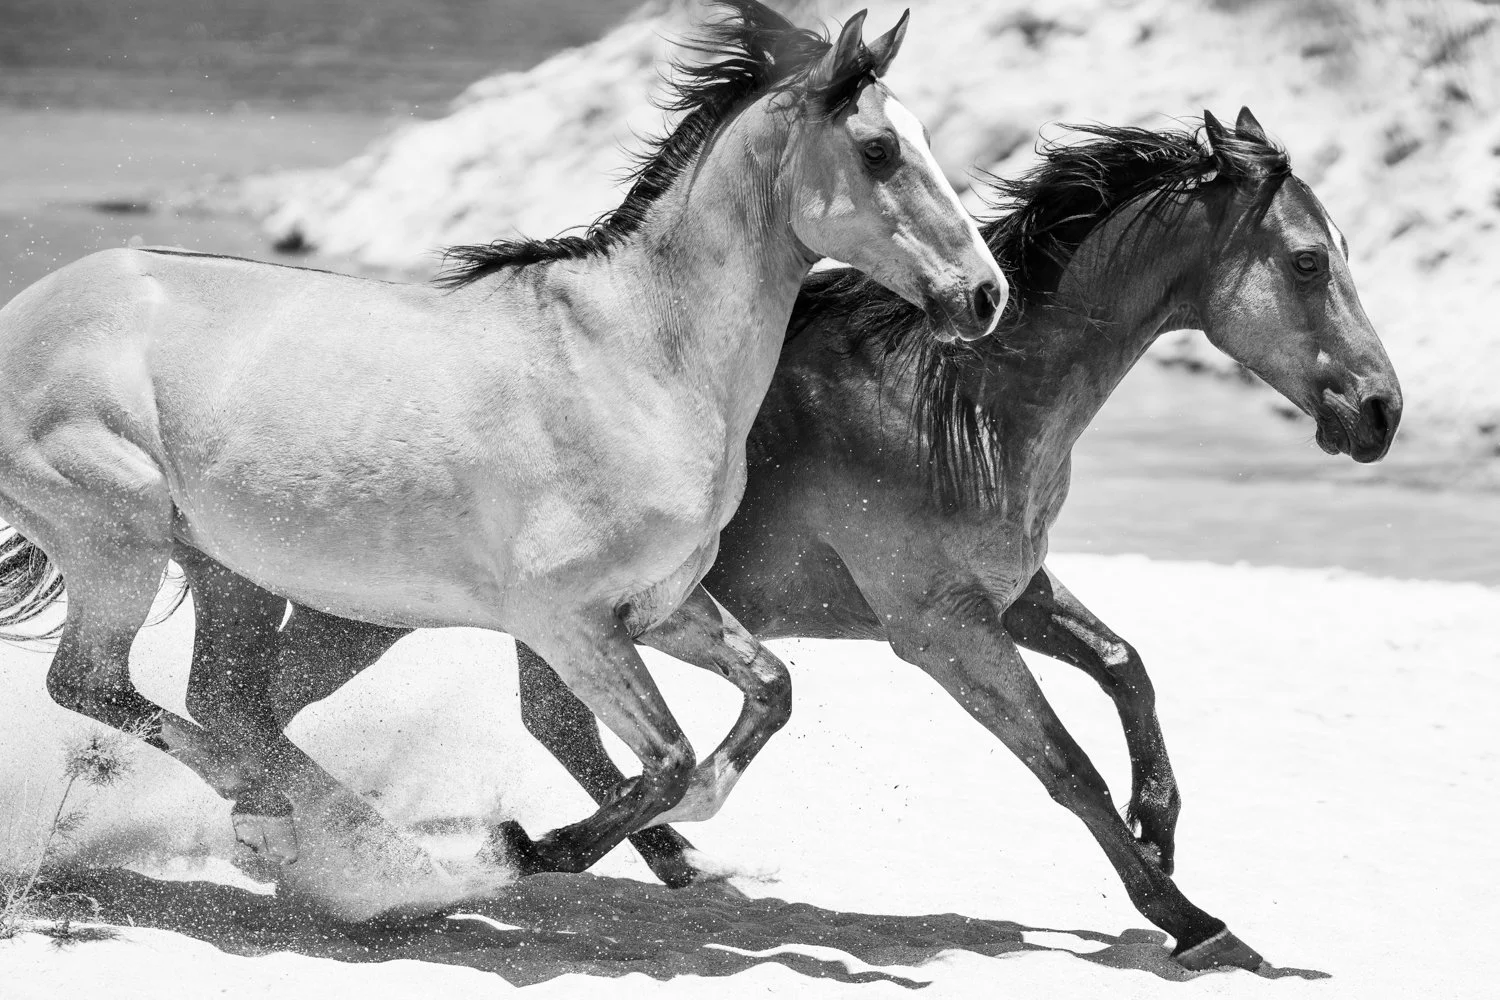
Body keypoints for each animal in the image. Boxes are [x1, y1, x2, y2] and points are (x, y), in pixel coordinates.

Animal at [0, 0, 1006, 879]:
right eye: (878, 149)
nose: (985, 294)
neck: (637, 358)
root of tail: (31, 307)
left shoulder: (661, 604)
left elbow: (765, 697)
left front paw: (652, 848)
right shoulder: (566, 619)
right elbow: (669, 761)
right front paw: (529, 849)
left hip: (225, 567)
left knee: (226, 704)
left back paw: (323, 838)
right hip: (119, 540)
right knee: (93, 687)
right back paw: (327, 837)